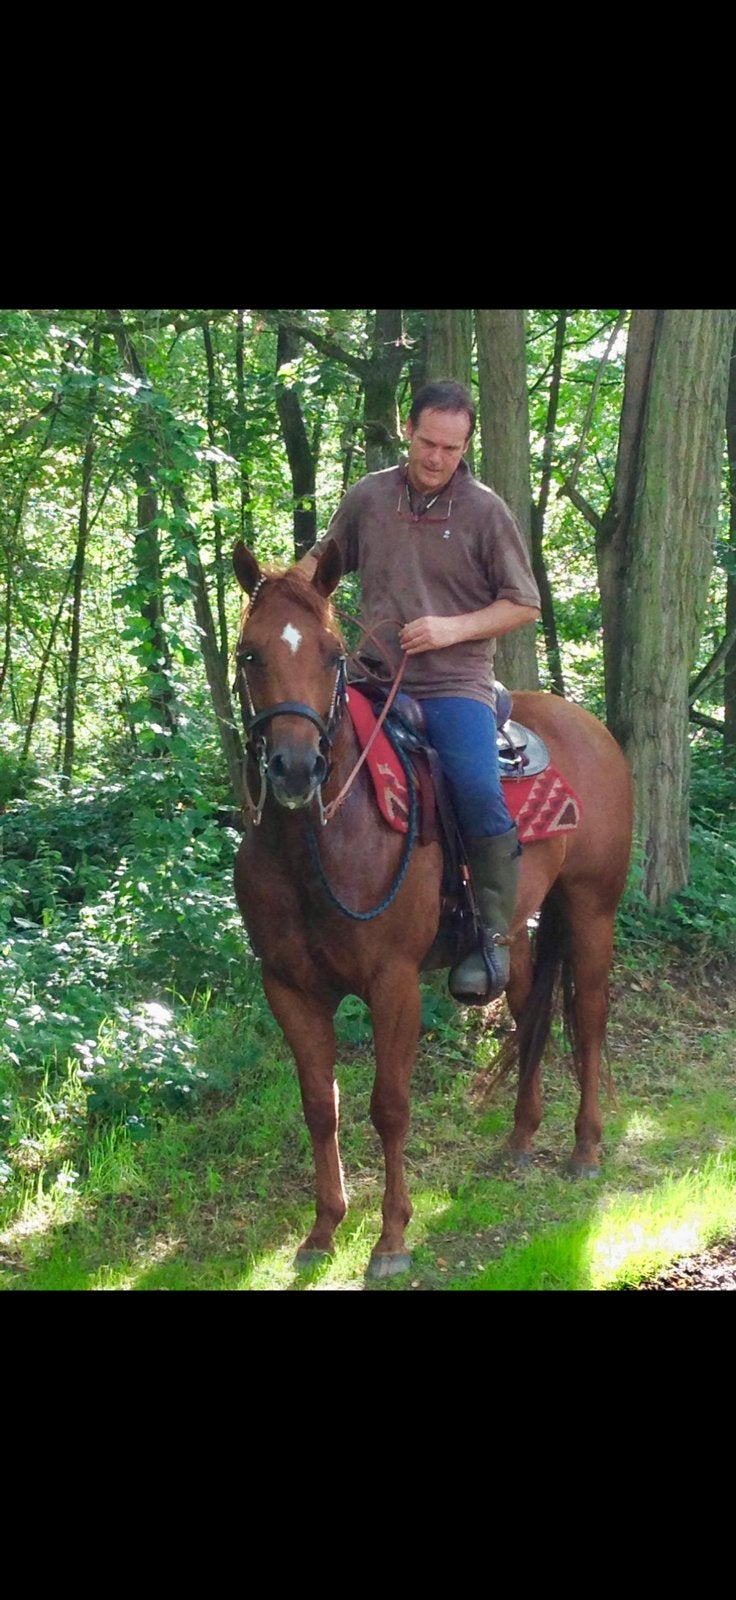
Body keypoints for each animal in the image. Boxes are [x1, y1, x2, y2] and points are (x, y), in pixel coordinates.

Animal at [231, 538, 634, 1279]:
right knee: (529, 1010)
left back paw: (585, 1149)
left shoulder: (393, 982)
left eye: (332, 653)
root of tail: (588, 726)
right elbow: (320, 1106)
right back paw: (520, 1139)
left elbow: (389, 1106)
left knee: (588, 1018)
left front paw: (391, 1239)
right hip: (516, 931)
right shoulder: (289, 987)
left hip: (594, 907)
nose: (296, 769)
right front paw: (323, 1230)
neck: (316, 844)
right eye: (249, 654)